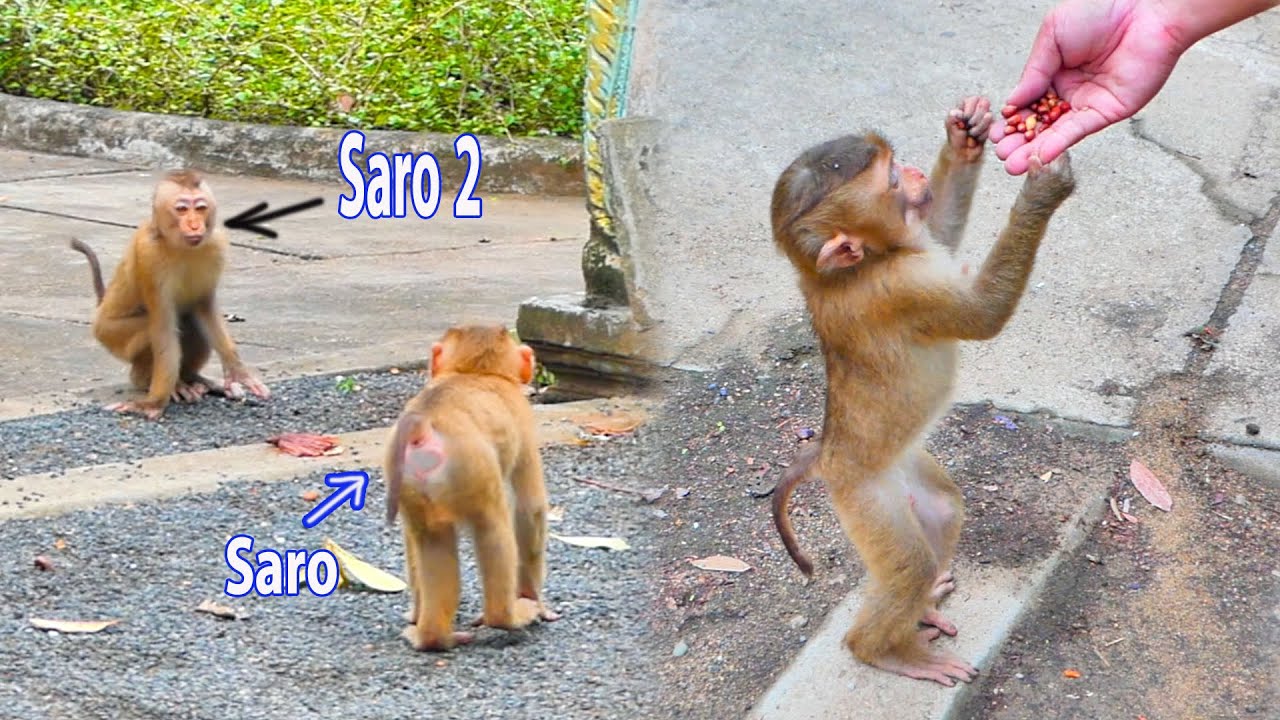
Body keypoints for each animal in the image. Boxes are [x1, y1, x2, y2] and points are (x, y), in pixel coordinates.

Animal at [69, 170, 269, 420]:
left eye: (200, 208)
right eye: (181, 209)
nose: (194, 225)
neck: (179, 246)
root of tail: (100, 308)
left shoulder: (217, 244)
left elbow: (205, 308)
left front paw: (237, 371)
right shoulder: (149, 255)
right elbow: (162, 326)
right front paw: (152, 403)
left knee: (191, 320)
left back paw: (192, 378)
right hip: (109, 334)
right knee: (156, 328)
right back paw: (156, 382)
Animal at [384, 324, 560, 651]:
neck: (473, 371)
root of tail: (424, 425)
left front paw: (413, 614)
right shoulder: (525, 421)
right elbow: (530, 508)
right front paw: (536, 600)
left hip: (408, 480)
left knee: (429, 538)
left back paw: (431, 634)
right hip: (472, 469)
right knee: (493, 527)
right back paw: (508, 616)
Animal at [767, 95, 1075, 686]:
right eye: (891, 179)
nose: (912, 172)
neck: (845, 272)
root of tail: (829, 453)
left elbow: (941, 233)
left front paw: (965, 136)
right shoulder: (898, 288)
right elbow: (981, 315)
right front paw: (1043, 192)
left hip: (906, 468)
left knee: (943, 509)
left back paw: (923, 606)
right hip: (865, 499)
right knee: (906, 567)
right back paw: (884, 649)